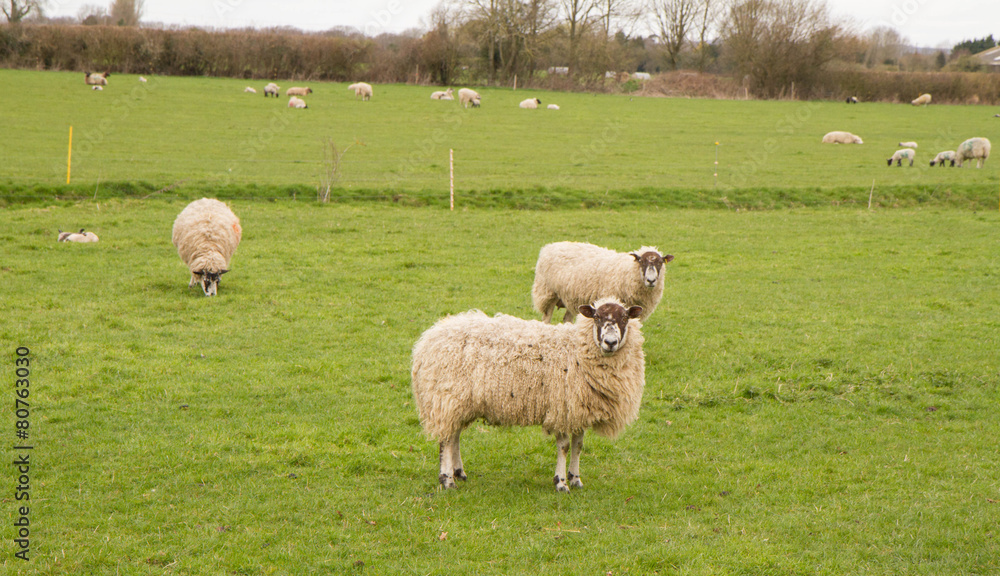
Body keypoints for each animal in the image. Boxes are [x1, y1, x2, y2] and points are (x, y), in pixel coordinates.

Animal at [411, 297, 646, 491]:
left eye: (625, 317)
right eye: (596, 317)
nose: (610, 342)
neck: (577, 350)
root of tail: (427, 340)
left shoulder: (578, 409)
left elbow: (578, 446)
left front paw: (575, 479)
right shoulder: (561, 407)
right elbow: (564, 447)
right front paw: (561, 483)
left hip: (459, 402)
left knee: (454, 435)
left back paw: (459, 472)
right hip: (445, 398)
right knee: (446, 439)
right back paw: (447, 480)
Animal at [532, 242, 673, 324]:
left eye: (660, 263)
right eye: (641, 261)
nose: (651, 280)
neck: (628, 271)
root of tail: (549, 246)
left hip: (571, 297)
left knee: (567, 318)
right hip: (548, 293)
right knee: (546, 318)